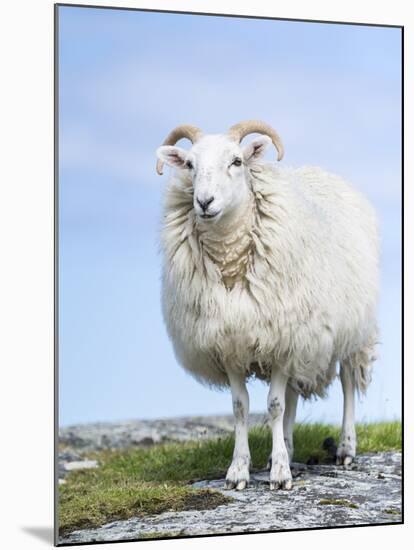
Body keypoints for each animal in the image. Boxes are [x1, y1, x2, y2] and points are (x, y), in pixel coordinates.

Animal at [155, 121, 378, 492]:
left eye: (236, 161)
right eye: (189, 164)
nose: (204, 201)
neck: (230, 258)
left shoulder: (284, 339)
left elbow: (273, 405)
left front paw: (280, 475)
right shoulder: (231, 343)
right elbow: (241, 407)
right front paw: (240, 470)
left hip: (351, 332)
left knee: (347, 383)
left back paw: (345, 448)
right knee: (292, 397)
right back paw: (283, 447)